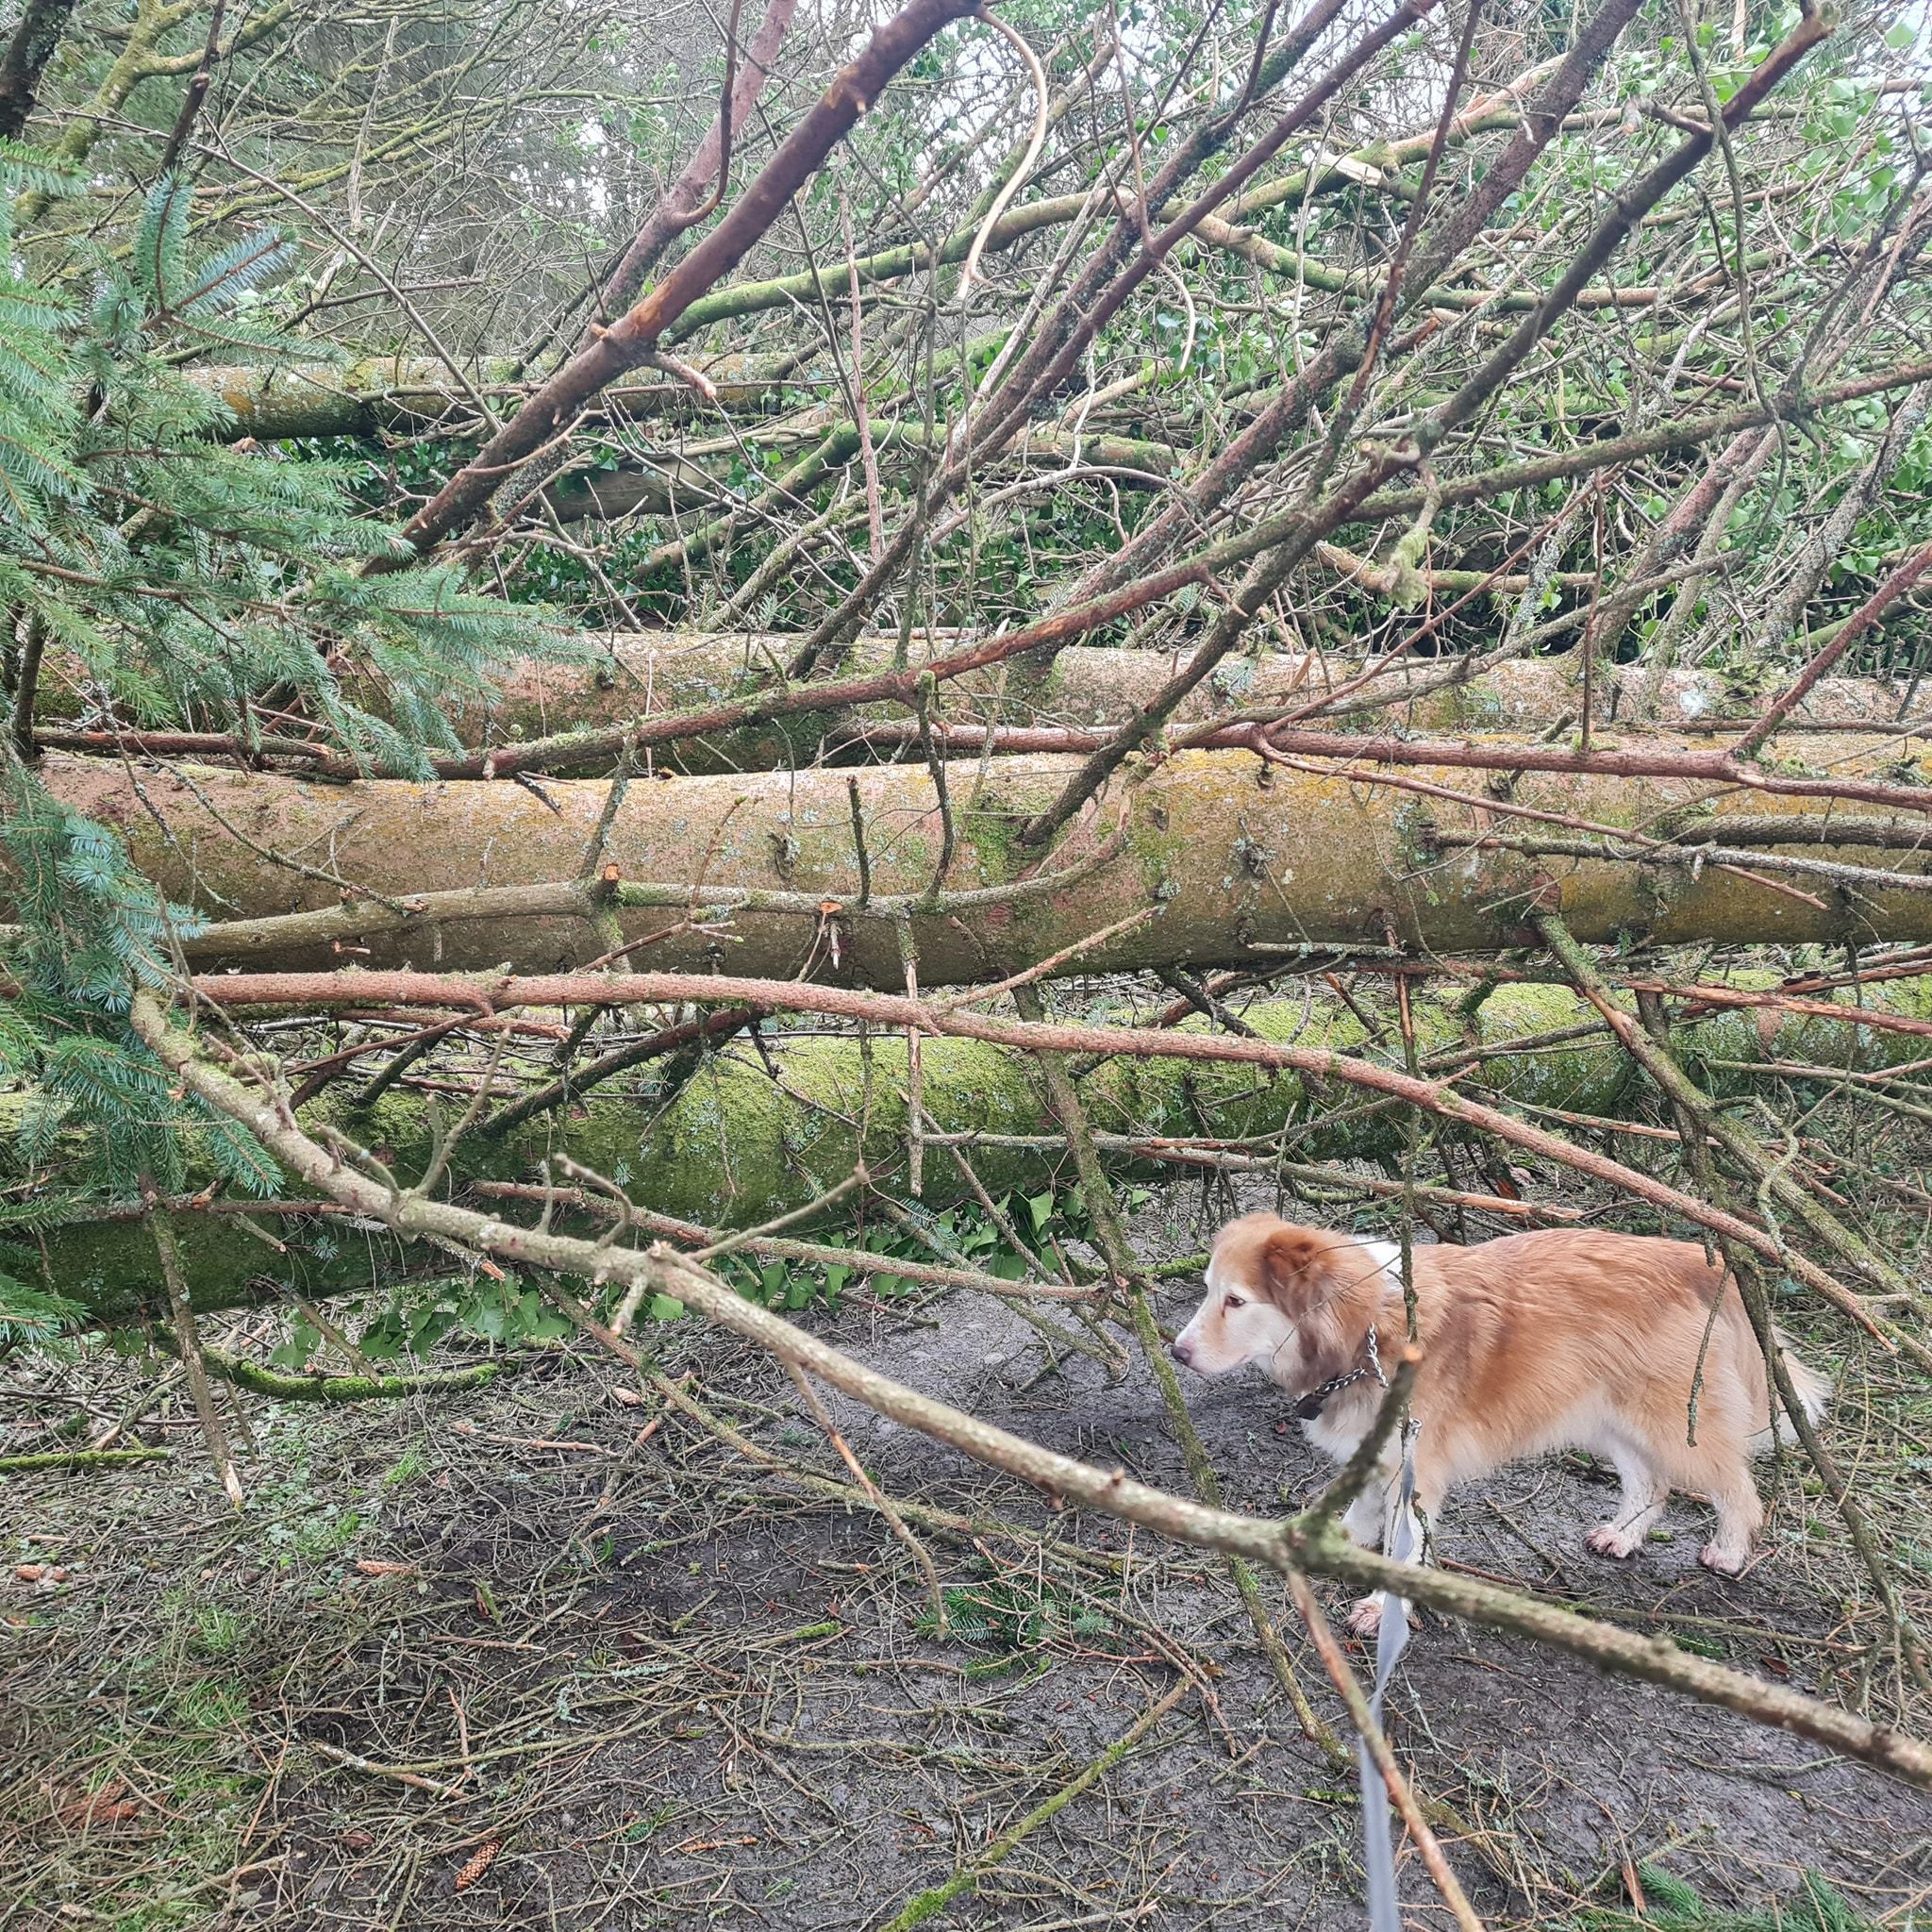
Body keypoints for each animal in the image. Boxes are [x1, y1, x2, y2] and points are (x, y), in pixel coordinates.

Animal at [1158, 1221, 1824, 1630]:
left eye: (1236, 1301)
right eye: (1207, 1290)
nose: (1177, 1354)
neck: (1367, 1327)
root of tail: (1699, 1260)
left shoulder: (1416, 1472)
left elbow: (1405, 1546)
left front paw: (1382, 1605)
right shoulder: (1380, 1456)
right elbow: (1361, 1514)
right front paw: (1331, 1544)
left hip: (1671, 1424)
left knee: (1736, 1488)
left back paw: (1730, 1553)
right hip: (1608, 1419)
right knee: (1651, 1484)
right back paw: (1623, 1536)